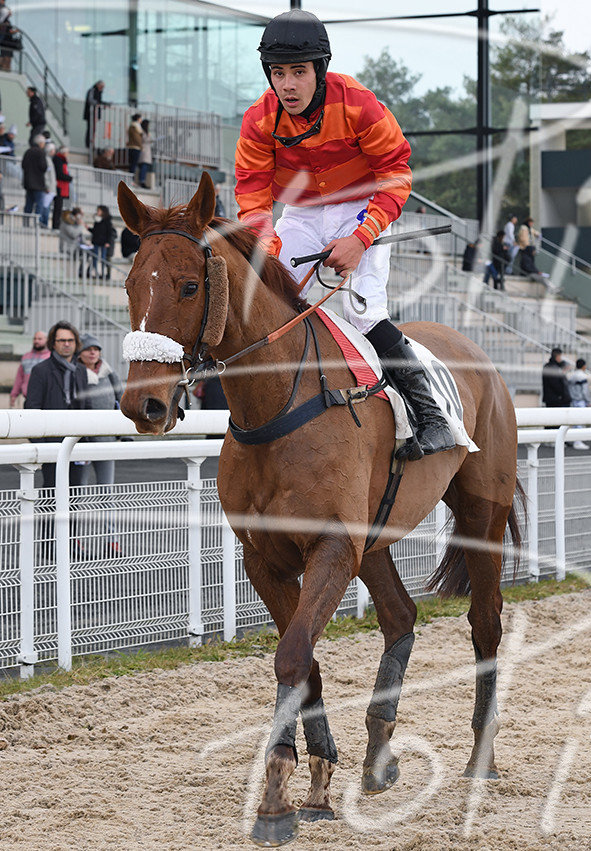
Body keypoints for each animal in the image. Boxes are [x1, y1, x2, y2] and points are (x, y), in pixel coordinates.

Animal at [117, 173, 522, 847]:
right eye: (128, 284)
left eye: (188, 285)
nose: (143, 405)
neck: (279, 400)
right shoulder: (266, 556)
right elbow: (303, 660)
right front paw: (316, 782)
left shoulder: (331, 545)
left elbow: (292, 654)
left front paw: (275, 801)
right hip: (375, 536)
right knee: (400, 615)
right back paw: (379, 756)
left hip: (479, 513)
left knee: (485, 622)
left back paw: (480, 758)